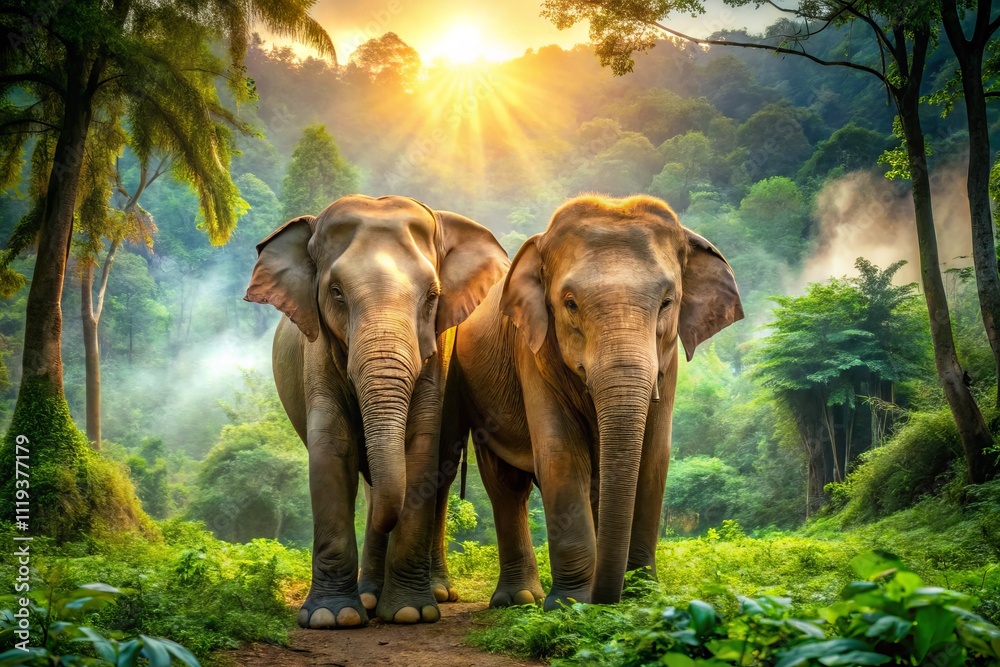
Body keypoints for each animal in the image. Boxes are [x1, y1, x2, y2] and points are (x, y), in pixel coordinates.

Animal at [244, 195, 508, 628]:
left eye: (432, 297)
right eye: (336, 293)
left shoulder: (436, 354)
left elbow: (420, 446)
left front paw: (410, 613)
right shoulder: (318, 349)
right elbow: (332, 448)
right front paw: (332, 618)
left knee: (438, 476)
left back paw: (431, 593)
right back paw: (369, 596)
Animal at [444, 194, 743, 610]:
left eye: (668, 302)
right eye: (570, 303)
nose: (606, 599)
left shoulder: (666, 368)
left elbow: (653, 458)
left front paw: (642, 595)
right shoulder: (533, 351)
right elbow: (561, 456)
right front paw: (569, 604)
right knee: (506, 485)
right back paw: (519, 600)